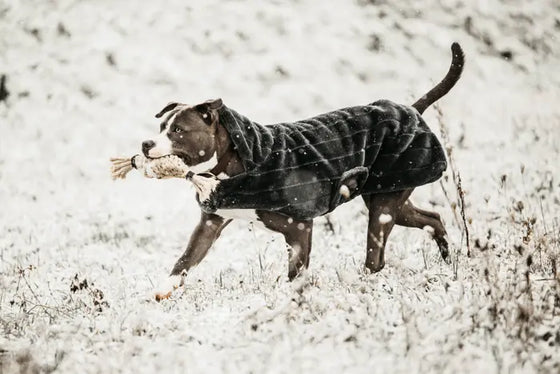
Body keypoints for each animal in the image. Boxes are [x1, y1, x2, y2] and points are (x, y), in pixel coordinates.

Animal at [144, 42, 464, 300]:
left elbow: (295, 273)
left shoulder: (298, 227)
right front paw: (164, 288)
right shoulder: (210, 223)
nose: (146, 143)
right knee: (431, 219)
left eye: (178, 130)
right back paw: (449, 260)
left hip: (385, 205)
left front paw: (294, 302)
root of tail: (411, 110)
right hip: (391, 193)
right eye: (161, 127)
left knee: (376, 258)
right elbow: (187, 258)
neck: (234, 164)